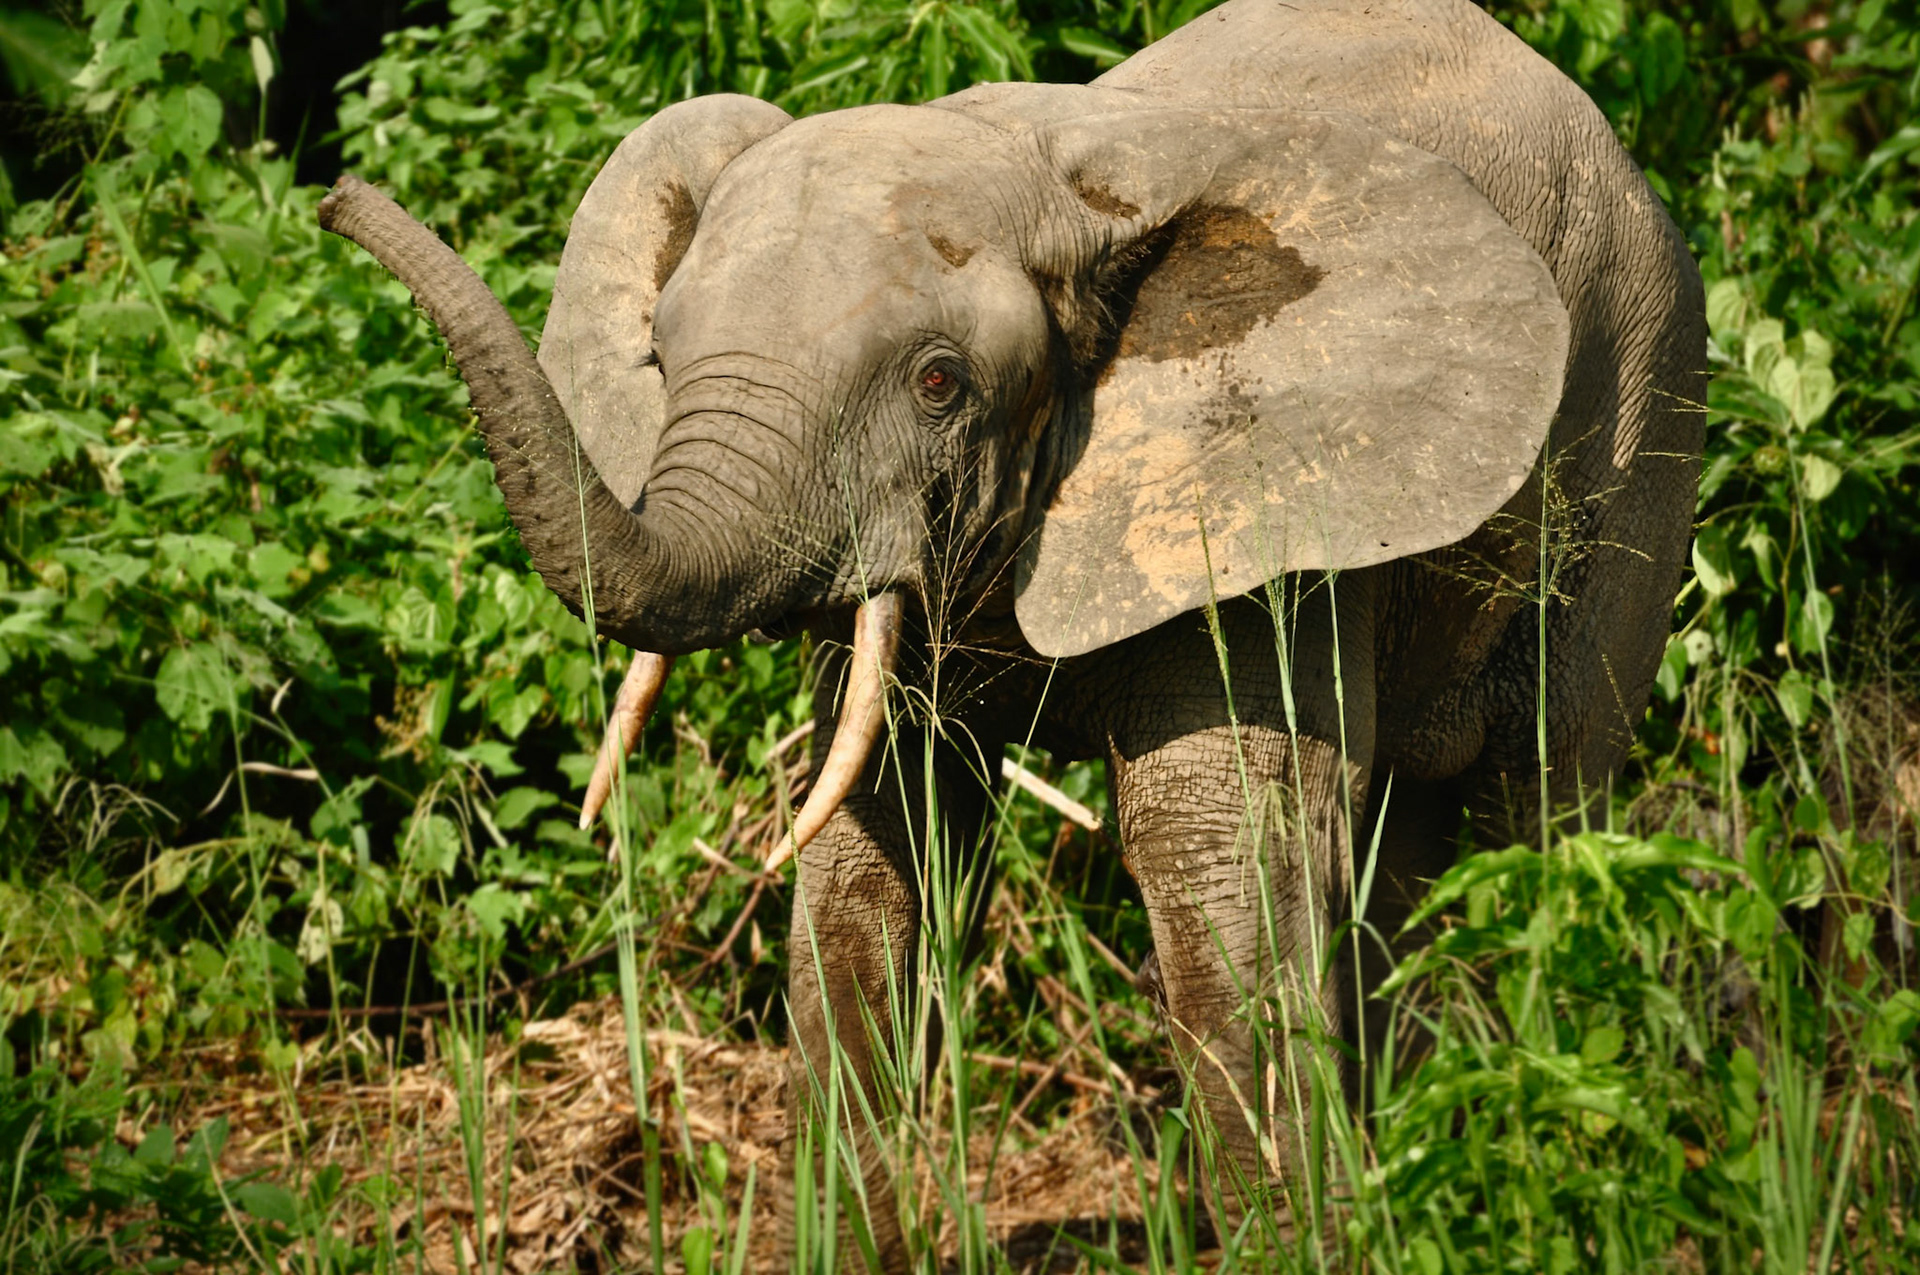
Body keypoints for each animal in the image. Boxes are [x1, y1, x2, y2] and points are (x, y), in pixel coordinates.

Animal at [319, 0, 1704, 1263]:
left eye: (940, 385)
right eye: (659, 362)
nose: (336, 197)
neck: (1059, 175)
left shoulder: (1270, 505)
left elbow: (1218, 848)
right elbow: (878, 843)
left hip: (1649, 397)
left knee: (1538, 805)